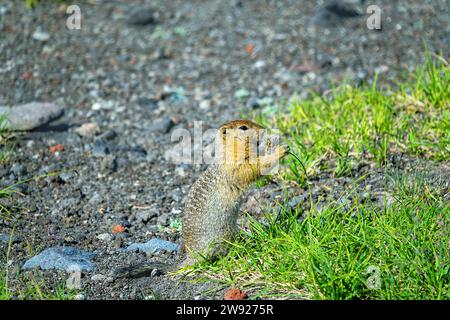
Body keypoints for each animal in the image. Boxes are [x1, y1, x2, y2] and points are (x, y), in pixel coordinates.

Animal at [115, 119, 288, 276]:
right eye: (243, 128)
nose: (263, 128)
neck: (229, 152)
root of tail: (191, 257)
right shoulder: (236, 167)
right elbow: (254, 168)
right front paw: (280, 150)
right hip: (224, 233)